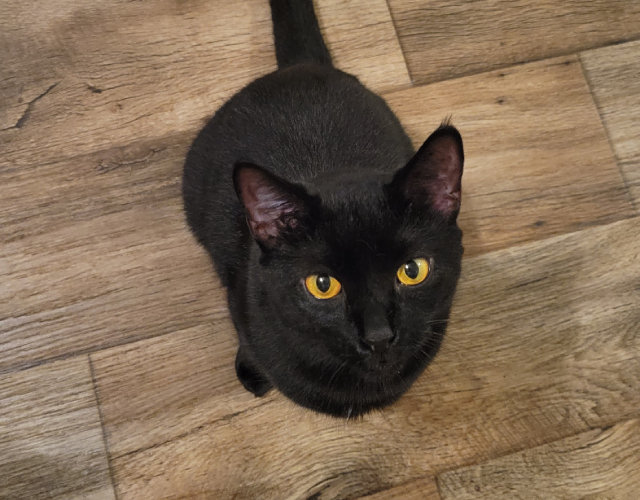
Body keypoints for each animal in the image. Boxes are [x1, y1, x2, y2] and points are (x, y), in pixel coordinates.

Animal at [182, 0, 462, 416]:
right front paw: (252, 371)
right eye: (322, 285)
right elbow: (250, 343)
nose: (379, 336)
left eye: (413, 270)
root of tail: (301, 66)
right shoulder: (240, 297)